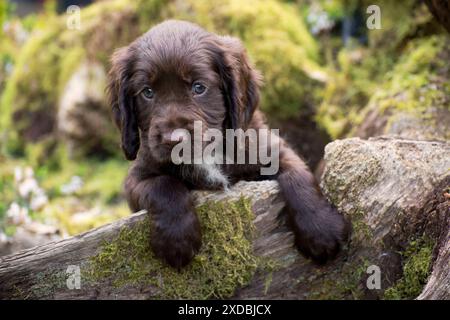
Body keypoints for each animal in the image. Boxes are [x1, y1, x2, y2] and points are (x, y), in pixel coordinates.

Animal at [107, 20, 350, 268]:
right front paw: (177, 239)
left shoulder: (271, 149)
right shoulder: (137, 177)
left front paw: (321, 231)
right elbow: (164, 185)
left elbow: (298, 176)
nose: (173, 139)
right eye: (147, 92)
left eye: (199, 87)